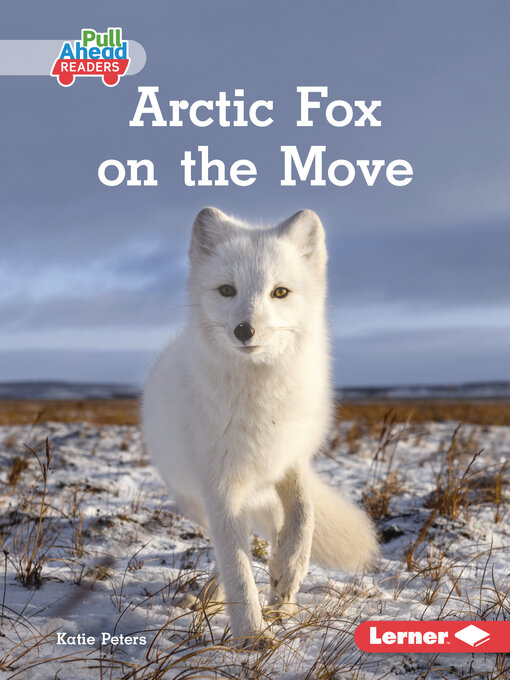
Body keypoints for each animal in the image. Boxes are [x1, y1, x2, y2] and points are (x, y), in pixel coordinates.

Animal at [142, 207, 378, 648]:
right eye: (226, 290)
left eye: (280, 292)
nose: (244, 330)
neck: (260, 397)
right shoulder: (220, 486)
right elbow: (237, 566)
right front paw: (251, 636)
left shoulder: (289, 457)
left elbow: (303, 516)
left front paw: (287, 576)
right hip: (195, 501)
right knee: (233, 547)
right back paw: (214, 597)